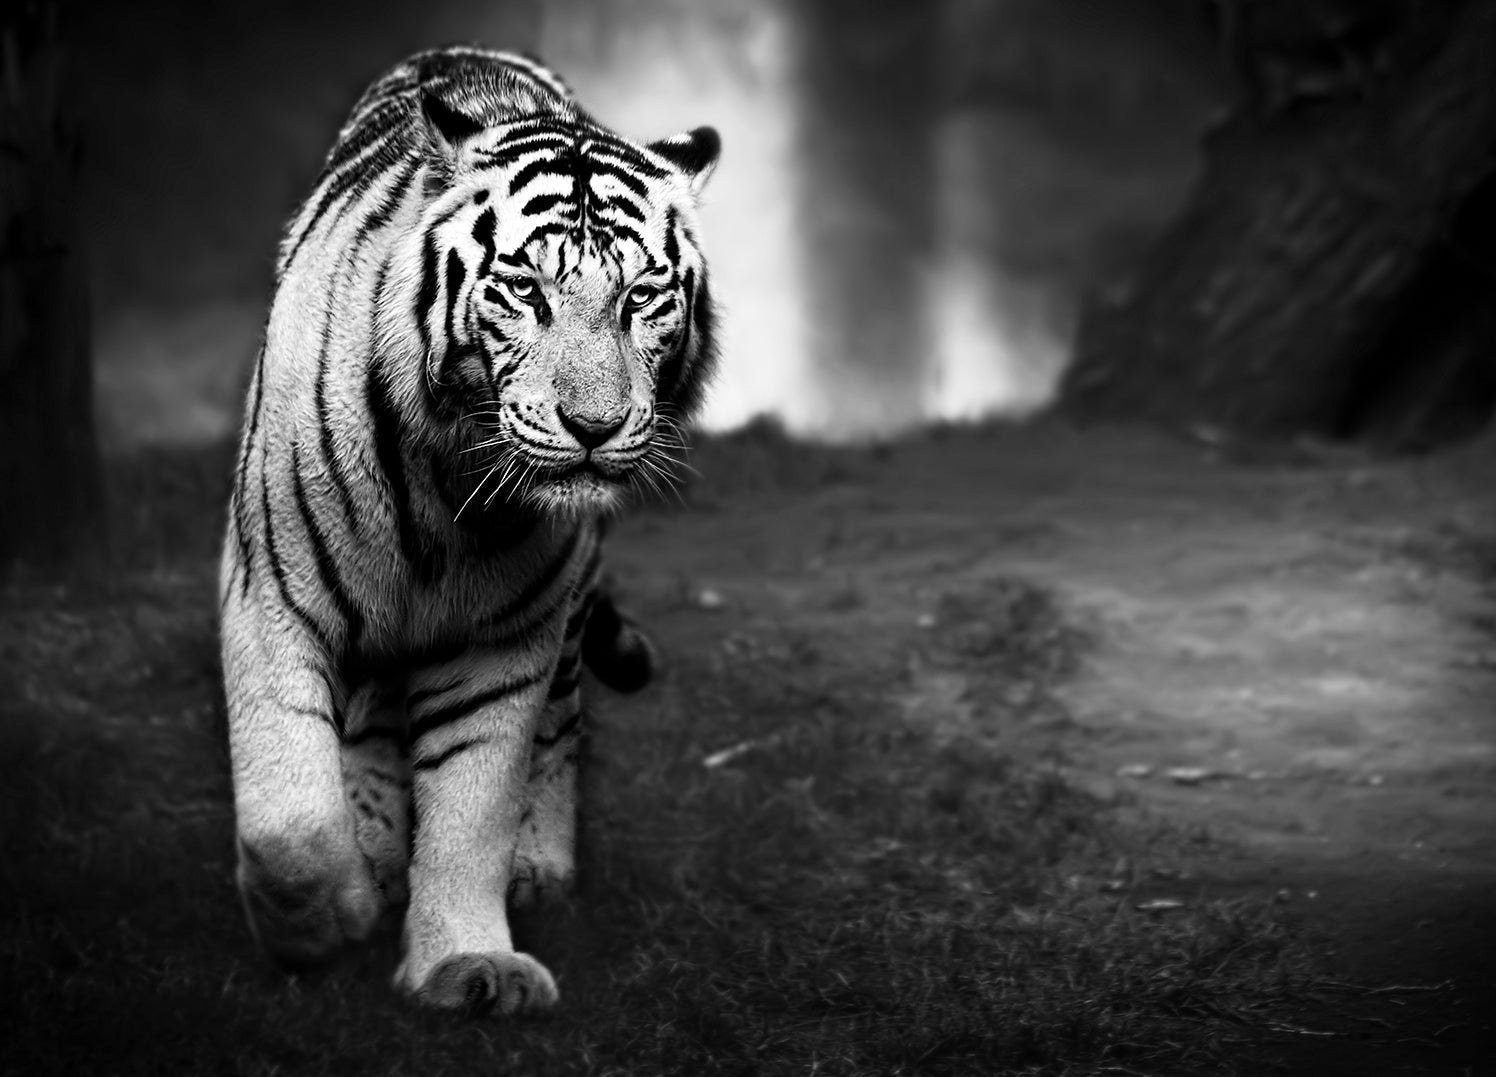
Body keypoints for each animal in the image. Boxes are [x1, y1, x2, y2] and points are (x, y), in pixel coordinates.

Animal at [219, 45, 718, 1016]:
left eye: (642, 296)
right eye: (524, 289)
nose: (594, 426)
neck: (447, 488)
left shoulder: (504, 638)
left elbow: (473, 803)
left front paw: (465, 961)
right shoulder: (270, 598)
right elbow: (290, 818)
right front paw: (330, 919)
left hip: (567, 610)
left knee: (562, 720)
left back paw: (538, 863)